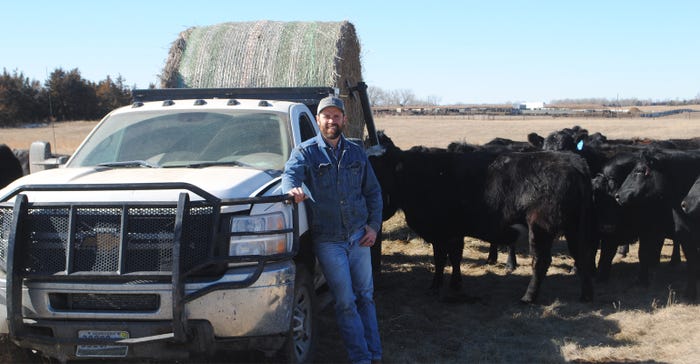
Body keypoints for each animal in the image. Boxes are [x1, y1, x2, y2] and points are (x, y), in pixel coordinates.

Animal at [370, 132, 592, 302]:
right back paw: (585, 296)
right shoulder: (454, 231)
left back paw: (528, 297)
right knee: (582, 256)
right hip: (575, 228)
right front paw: (455, 283)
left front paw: (435, 286)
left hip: (540, 227)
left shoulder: (441, 230)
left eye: (379, 165)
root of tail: (571, 161)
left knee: (541, 261)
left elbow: (441, 259)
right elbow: (455, 257)